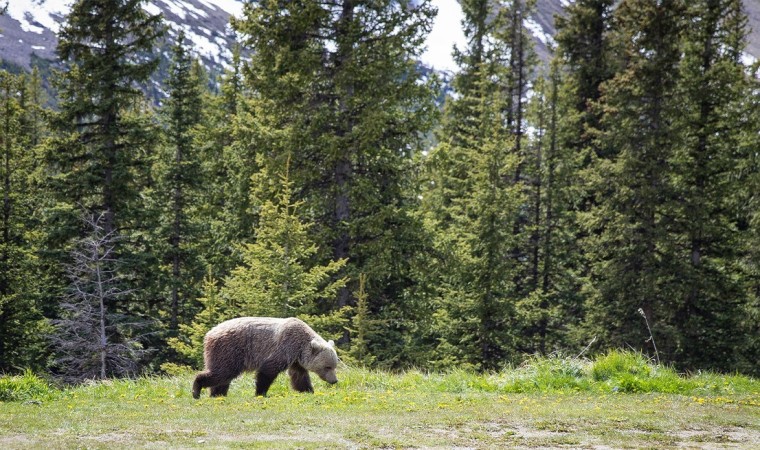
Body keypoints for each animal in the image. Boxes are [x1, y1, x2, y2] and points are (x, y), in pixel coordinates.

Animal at [193, 316, 338, 398]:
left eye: (334, 366)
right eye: (328, 367)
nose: (334, 381)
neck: (300, 347)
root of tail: (209, 334)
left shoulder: (296, 359)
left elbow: (299, 375)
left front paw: (308, 390)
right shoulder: (284, 347)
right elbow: (268, 370)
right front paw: (260, 393)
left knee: (223, 377)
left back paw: (217, 394)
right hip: (229, 350)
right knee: (222, 372)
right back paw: (197, 389)